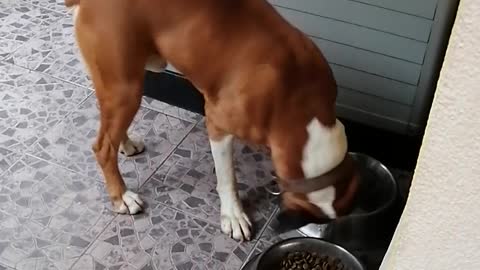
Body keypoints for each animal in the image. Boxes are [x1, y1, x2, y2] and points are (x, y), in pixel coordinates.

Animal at [66, 0, 360, 240]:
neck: (300, 100)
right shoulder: (218, 125)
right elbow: (227, 178)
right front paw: (234, 215)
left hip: (121, 86)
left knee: (111, 129)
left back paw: (125, 145)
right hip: (125, 89)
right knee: (103, 147)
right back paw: (122, 198)